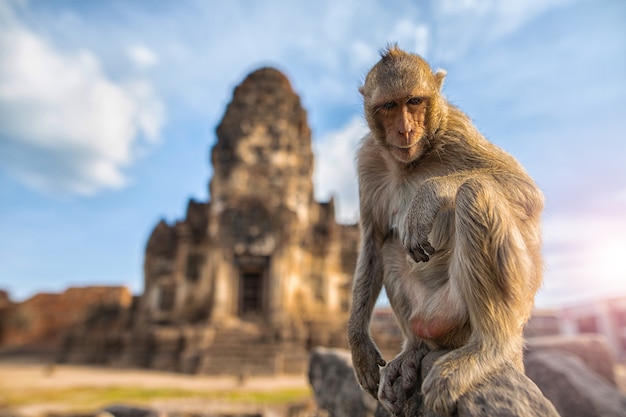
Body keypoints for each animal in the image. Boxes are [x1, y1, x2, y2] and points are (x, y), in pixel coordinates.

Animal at [346, 44, 540, 414]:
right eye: (389, 106)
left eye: (414, 101)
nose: (405, 130)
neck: (412, 162)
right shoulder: (368, 159)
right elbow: (372, 239)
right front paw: (359, 344)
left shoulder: (456, 129)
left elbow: (524, 191)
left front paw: (428, 195)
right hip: (430, 314)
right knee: (390, 243)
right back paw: (415, 349)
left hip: (489, 304)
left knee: (475, 191)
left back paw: (486, 350)